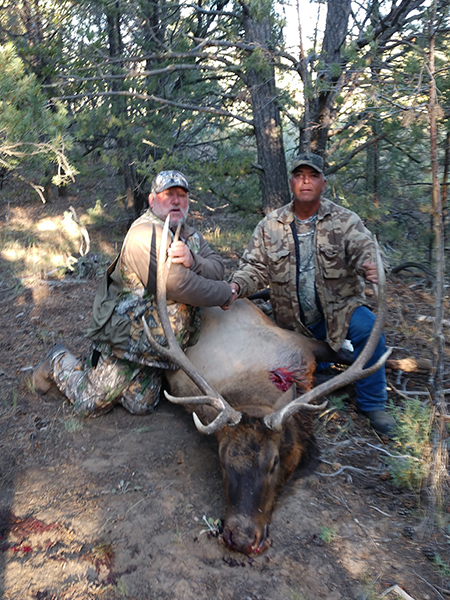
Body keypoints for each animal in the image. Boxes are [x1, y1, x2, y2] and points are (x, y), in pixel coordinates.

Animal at [143, 218, 390, 556]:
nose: (241, 538)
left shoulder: (303, 345)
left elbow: (350, 356)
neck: (256, 391)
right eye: (222, 460)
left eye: (273, 462)